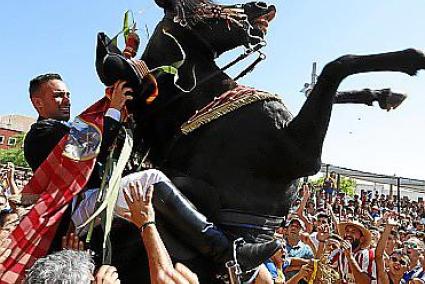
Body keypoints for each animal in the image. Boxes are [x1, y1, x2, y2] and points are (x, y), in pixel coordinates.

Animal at [93, 0, 424, 282]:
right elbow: (336, 67)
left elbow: (326, 85)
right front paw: (411, 58)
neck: (201, 100)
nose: (262, 6)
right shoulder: (301, 152)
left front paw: (383, 94)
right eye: (204, 6)